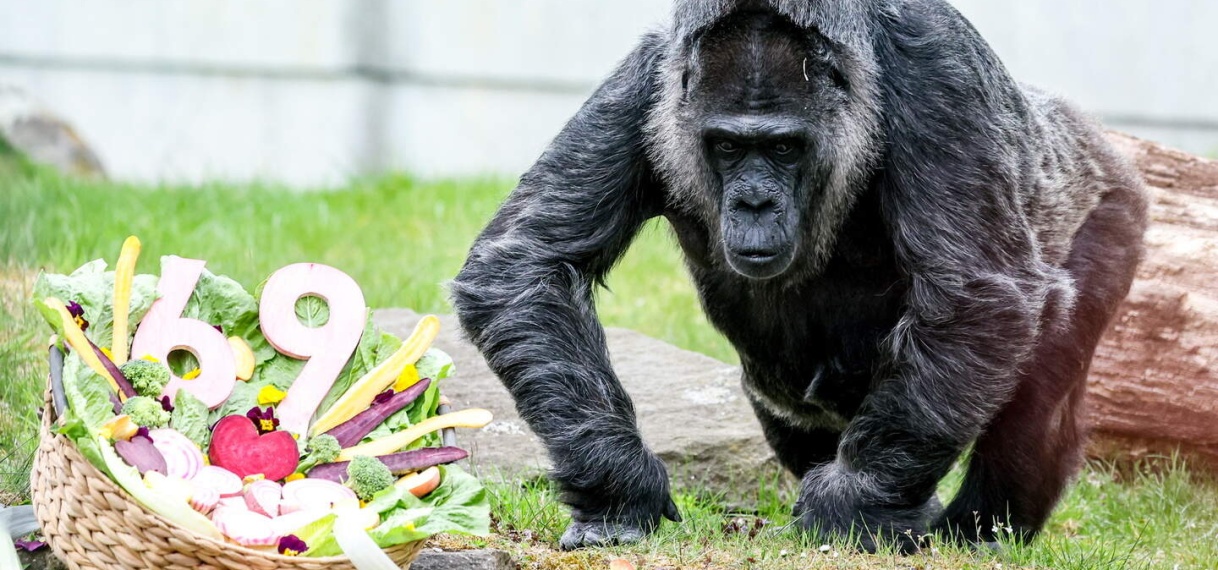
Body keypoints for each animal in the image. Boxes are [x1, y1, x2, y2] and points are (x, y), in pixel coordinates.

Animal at [451, 0, 1148, 553]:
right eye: (729, 146)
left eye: (784, 147)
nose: (755, 203)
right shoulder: (650, 80)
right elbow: (528, 260)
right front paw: (620, 493)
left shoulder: (935, 70)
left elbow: (978, 291)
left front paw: (851, 507)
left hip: (1114, 211)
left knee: (1036, 397)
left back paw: (980, 531)